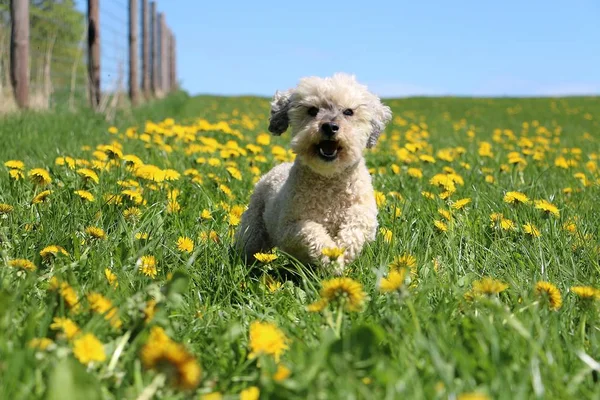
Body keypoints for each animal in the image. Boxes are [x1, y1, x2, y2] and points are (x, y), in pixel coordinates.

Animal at [234, 72, 394, 276]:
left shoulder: (365, 217)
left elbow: (355, 228)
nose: (330, 126)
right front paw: (331, 255)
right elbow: (311, 231)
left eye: (348, 112)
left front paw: (340, 253)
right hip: (253, 227)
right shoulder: (289, 228)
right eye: (312, 110)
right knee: (249, 245)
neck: (329, 180)